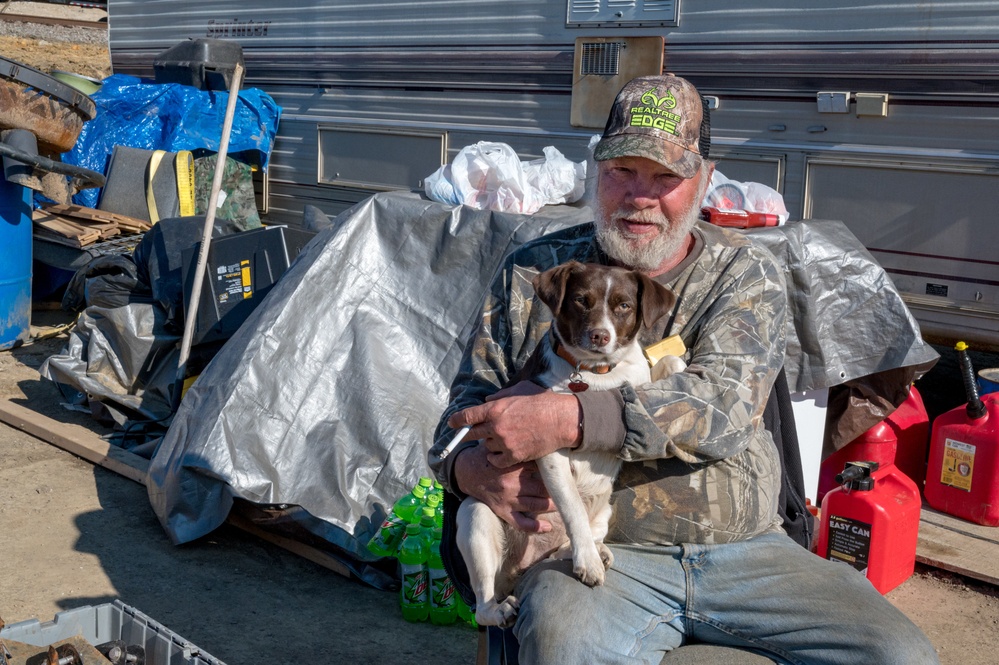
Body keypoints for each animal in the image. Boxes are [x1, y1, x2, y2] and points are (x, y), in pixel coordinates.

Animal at [456, 260, 684, 628]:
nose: (600, 336)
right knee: (483, 604)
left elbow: (661, 368)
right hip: (476, 516)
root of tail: (520, 567)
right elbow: (573, 506)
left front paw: (676, 363)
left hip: (605, 510)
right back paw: (503, 605)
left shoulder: (635, 384)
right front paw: (587, 564)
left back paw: (591, 551)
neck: (596, 373)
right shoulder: (547, 445)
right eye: (581, 300)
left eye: (624, 305)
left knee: (580, 538)